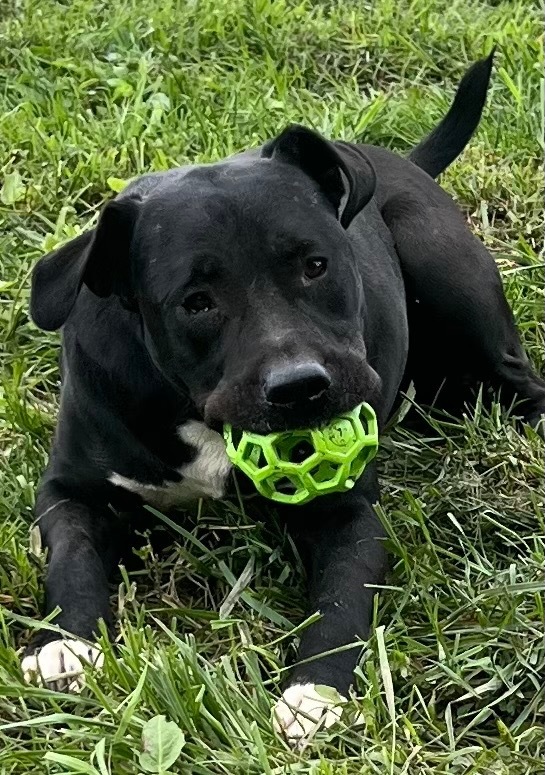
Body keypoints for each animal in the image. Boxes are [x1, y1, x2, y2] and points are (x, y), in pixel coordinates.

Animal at [22, 54, 544, 744]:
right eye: (195, 302)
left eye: (315, 265)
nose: (301, 386)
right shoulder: (70, 490)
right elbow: (73, 557)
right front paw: (65, 644)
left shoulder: (348, 512)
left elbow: (342, 602)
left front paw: (314, 693)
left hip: (445, 271)